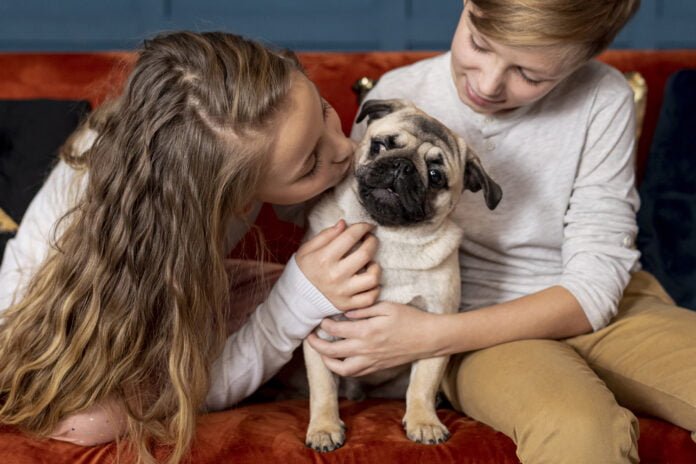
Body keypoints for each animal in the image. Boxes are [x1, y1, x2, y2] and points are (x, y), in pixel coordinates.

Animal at [304, 99, 500, 452]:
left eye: (435, 176)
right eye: (381, 145)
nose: (403, 166)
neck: (389, 237)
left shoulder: (435, 326)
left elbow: (422, 383)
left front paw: (424, 422)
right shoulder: (319, 333)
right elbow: (323, 387)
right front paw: (324, 427)